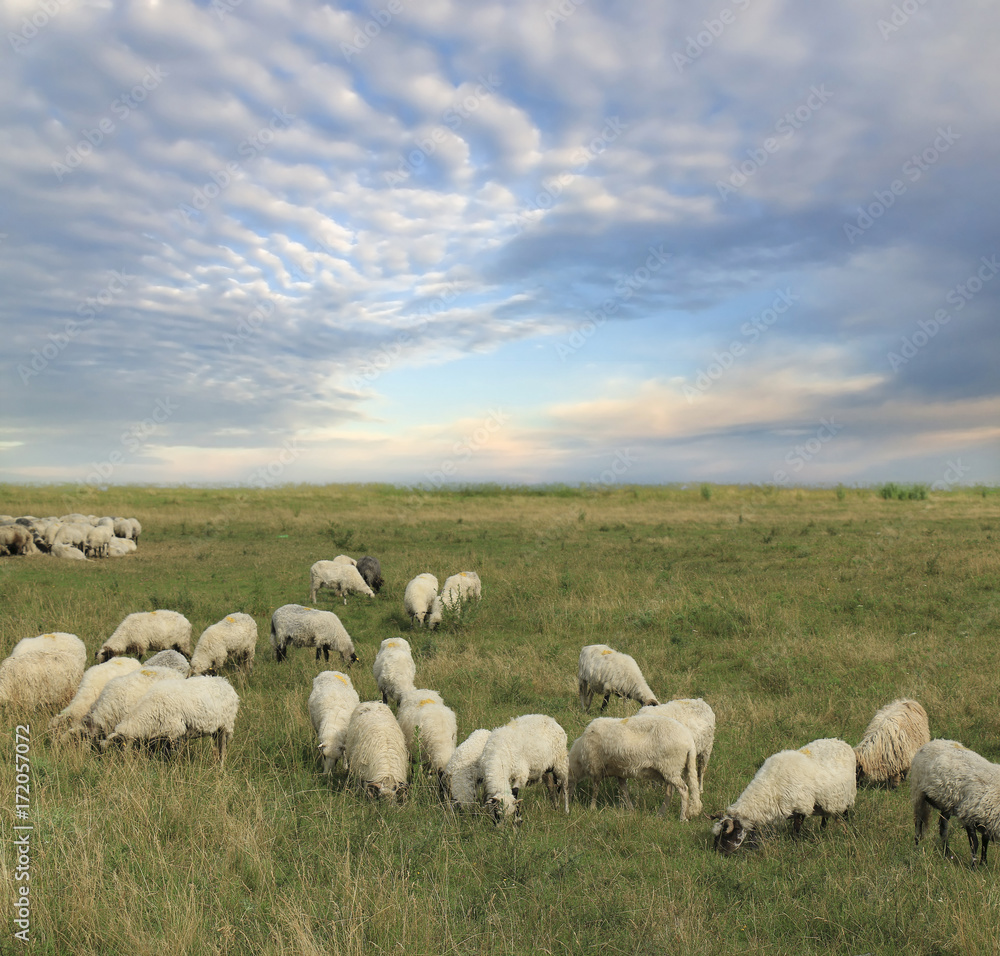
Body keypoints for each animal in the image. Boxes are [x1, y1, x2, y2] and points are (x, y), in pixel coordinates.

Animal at [101, 675, 240, 764]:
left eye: (122, 745)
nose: (125, 764)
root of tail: (225, 682)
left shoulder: (175, 732)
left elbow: (172, 754)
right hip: (216, 731)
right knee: (217, 749)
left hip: (225, 726)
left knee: (223, 749)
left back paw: (221, 767)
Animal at [568, 712, 702, 819]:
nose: (568, 801)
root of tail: (689, 741)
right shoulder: (620, 772)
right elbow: (624, 790)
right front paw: (631, 809)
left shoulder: (596, 768)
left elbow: (595, 790)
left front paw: (592, 808)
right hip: (670, 769)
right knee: (670, 791)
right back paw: (660, 814)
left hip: (671, 766)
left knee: (684, 790)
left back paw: (682, 818)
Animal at [712, 738, 857, 854]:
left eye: (727, 834)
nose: (718, 853)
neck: (772, 785)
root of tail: (840, 741)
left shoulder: (801, 807)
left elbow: (796, 829)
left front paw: (795, 846)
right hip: (827, 802)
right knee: (825, 816)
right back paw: (822, 830)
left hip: (848, 796)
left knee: (845, 814)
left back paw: (847, 831)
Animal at [910, 739, 1000, 867]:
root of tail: (934, 741)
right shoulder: (968, 814)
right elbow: (975, 843)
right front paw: (973, 867)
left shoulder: (986, 818)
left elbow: (984, 842)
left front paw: (984, 864)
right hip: (918, 793)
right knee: (918, 822)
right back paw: (917, 847)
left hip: (946, 803)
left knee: (943, 827)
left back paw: (946, 854)